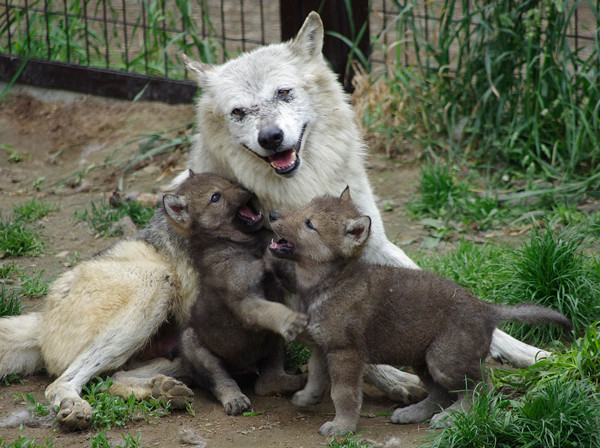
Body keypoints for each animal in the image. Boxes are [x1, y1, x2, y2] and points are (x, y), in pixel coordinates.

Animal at [178, 9, 548, 392]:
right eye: (238, 112)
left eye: (283, 93)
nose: (270, 137)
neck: (302, 189)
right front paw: (399, 381)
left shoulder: (376, 244)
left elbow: (454, 297)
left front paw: (534, 353)